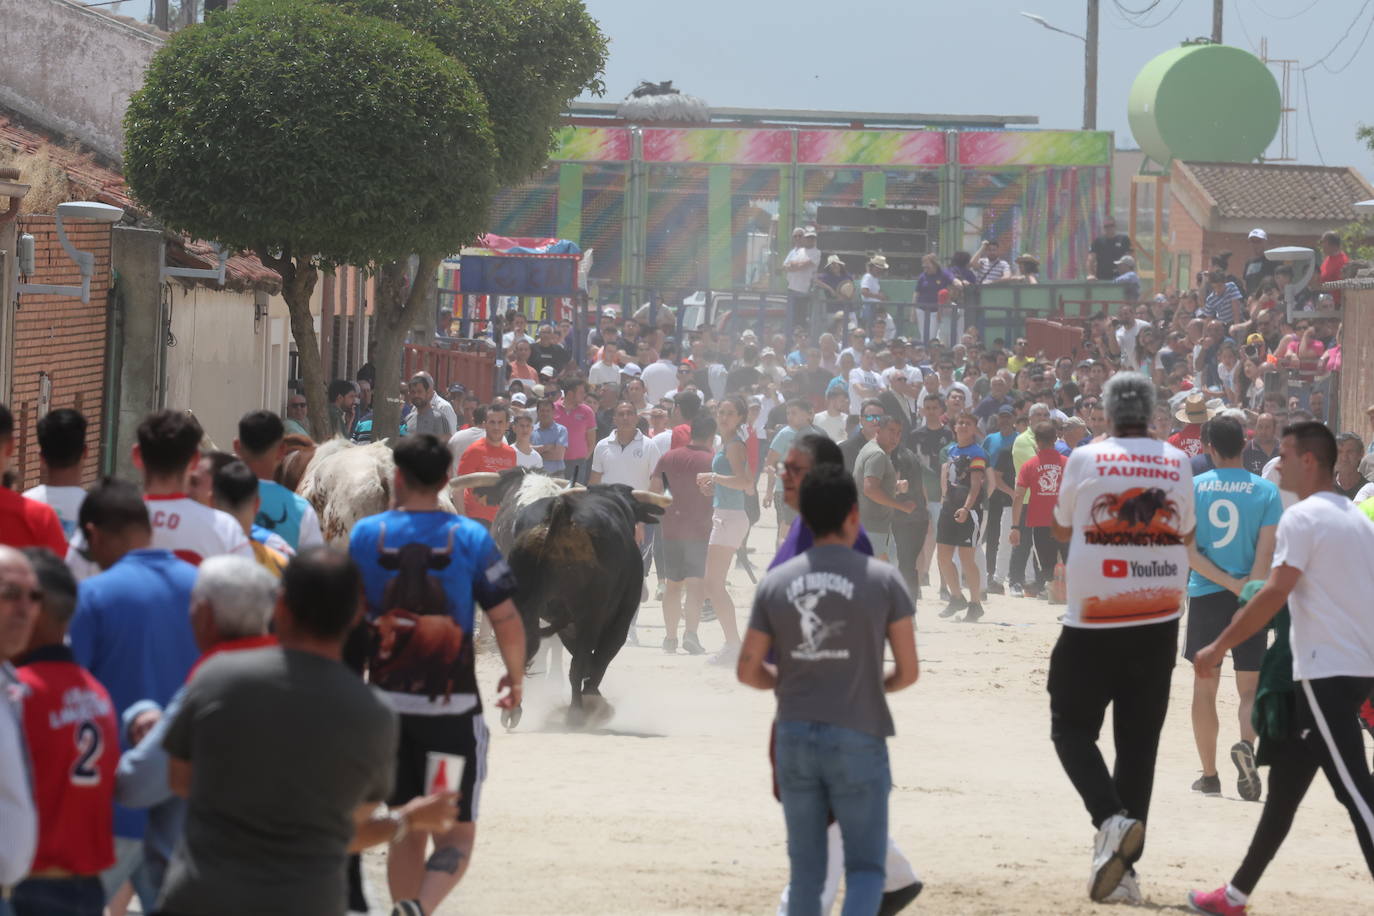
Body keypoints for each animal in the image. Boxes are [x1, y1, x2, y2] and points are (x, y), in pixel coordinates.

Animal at [475, 472, 662, 725]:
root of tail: (560, 515)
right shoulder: (618, 619)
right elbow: (599, 658)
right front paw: (592, 694)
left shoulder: (565, 623)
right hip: (589, 615)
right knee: (580, 663)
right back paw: (577, 711)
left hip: (528, 609)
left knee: (524, 651)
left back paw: (513, 710)